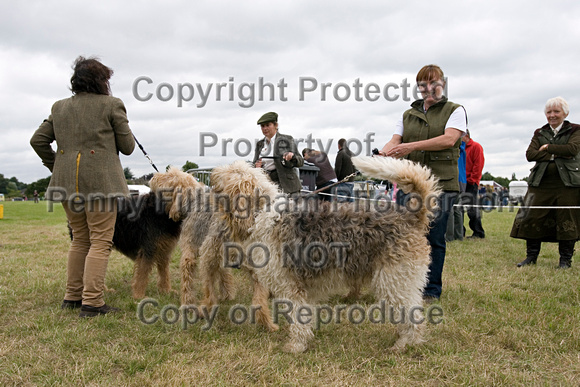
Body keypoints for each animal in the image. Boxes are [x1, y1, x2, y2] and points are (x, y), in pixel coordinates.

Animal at [197, 158, 442, 354]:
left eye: (233, 170)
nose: (212, 173)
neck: (262, 214)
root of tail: (410, 217)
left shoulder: (291, 287)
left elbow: (297, 319)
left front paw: (295, 346)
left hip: (394, 281)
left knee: (414, 318)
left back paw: (404, 345)